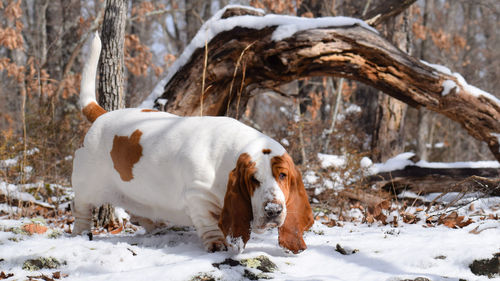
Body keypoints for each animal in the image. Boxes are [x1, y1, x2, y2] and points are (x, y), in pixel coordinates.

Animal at [71, 32, 312, 252]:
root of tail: (101, 115)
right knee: (82, 209)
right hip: (87, 186)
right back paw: (81, 233)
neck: (227, 161)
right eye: (253, 179)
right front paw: (217, 244)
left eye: (283, 175)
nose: (273, 211)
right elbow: (209, 224)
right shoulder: (198, 197)